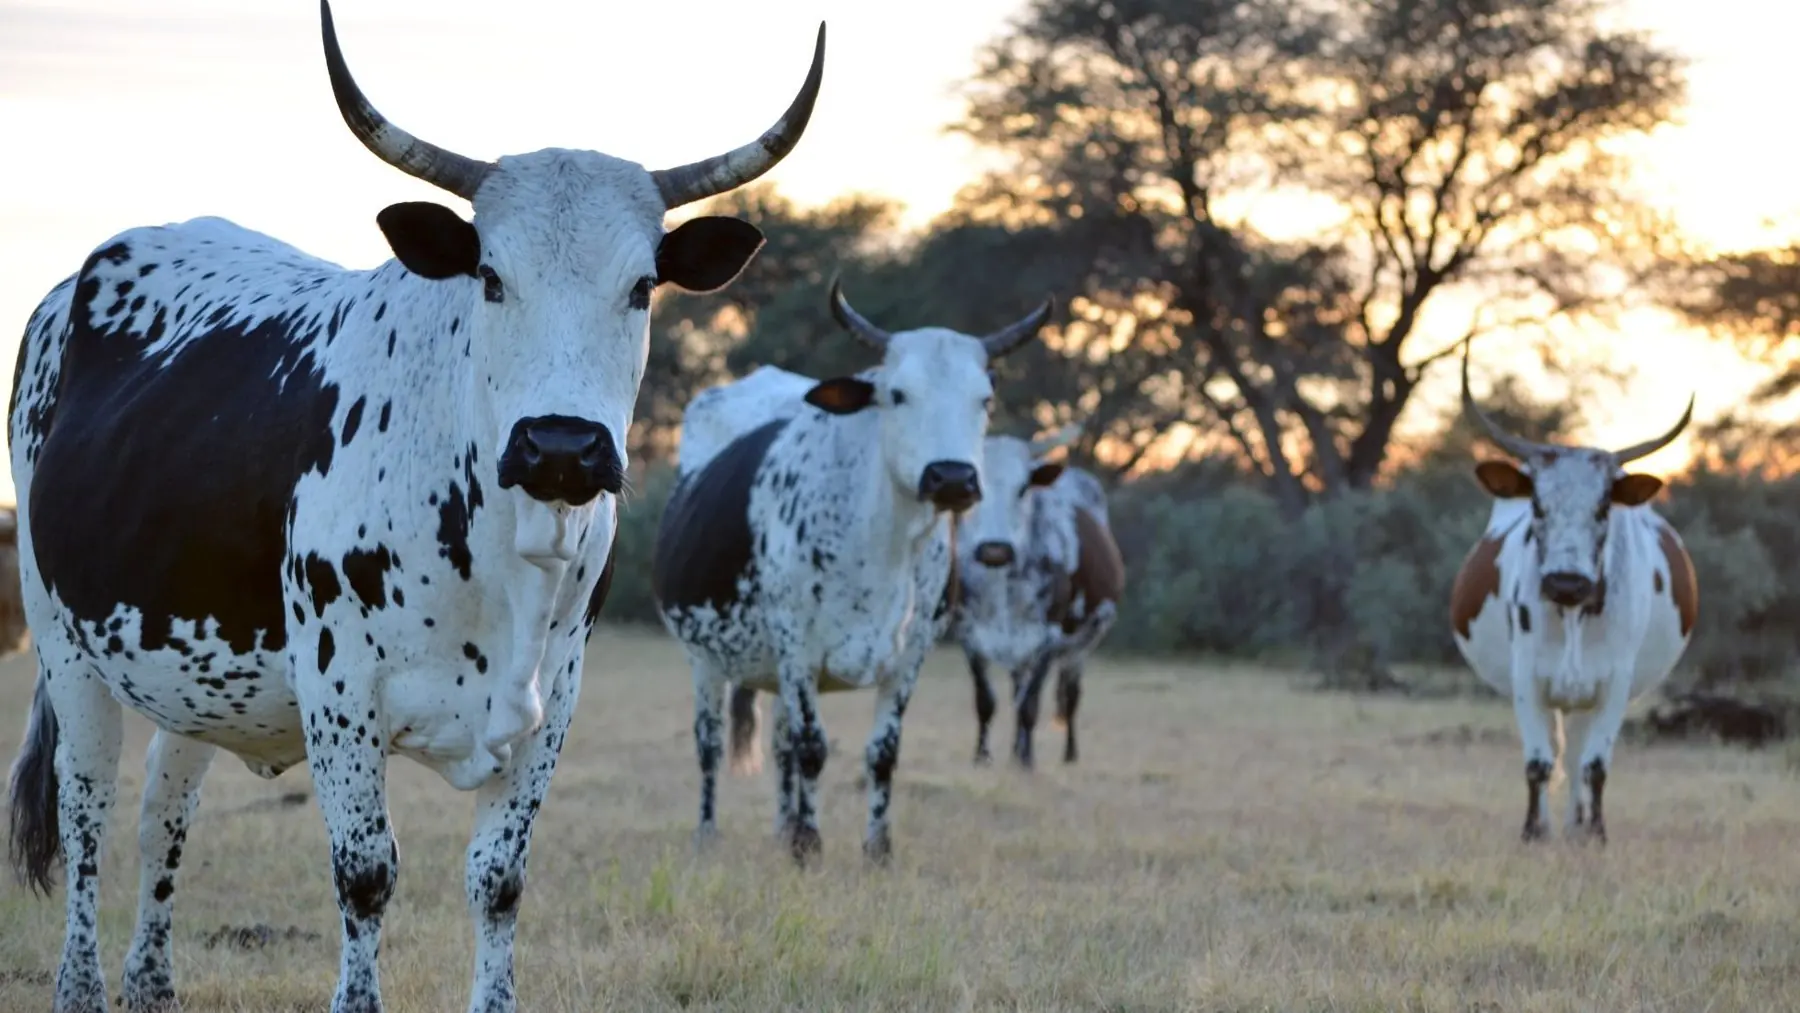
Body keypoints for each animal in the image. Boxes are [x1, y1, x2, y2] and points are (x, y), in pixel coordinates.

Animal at [4, 4, 826, 1011]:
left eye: (642, 287)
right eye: (490, 277)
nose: (562, 446)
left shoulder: (554, 703)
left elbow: (499, 879)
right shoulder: (340, 696)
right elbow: (365, 874)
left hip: (187, 662)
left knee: (165, 806)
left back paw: (152, 982)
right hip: (64, 643)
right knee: (87, 812)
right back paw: (80, 984)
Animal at [652, 281, 1053, 865]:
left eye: (985, 400)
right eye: (898, 394)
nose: (953, 477)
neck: (883, 543)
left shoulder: (911, 654)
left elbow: (881, 752)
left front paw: (875, 849)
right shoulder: (796, 645)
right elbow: (813, 748)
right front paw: (809, 846)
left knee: (780, 742)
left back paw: (781, 826)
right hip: (704, 657)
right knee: (710, 742)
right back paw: (710, 833)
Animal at [951, 426, 1124, 767]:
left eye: (1023, 489)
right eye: (974, 486)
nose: (995, 549)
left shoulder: (1048, 636)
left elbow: (1031, 704)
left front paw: (1027, 761)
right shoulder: (968, 633)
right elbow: (985, 700)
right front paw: (982, 756)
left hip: (1082, 645)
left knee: (1070, 695)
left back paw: (1068, 753)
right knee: (1019, 687)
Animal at [1449, 348, 1697, 844]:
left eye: (1603, 507)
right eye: (1537, 505)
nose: (1566, 582)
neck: (1573, 616)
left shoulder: (1616, 683)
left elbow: (1595, 765)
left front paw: (1596, 834)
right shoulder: (1526, 678)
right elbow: (1538, 763)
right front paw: (1532, 832)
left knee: (1581, 750)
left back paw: (1577, 825)